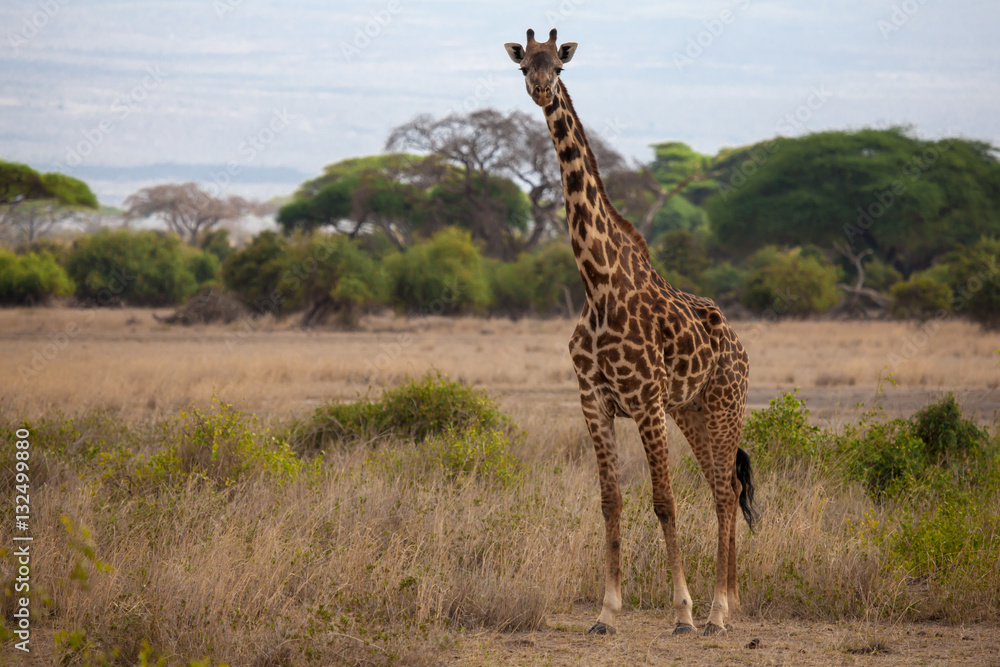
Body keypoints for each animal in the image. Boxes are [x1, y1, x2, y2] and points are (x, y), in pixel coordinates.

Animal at [505, 29, 757, 637]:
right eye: (523, 65)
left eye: (557, 64)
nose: (541, 91)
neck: (597, 284)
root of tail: (740, 347)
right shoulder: (593, 400)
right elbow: (610, 501)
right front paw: (606, 611)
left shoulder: (644, 401)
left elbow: (664, 501)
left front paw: (682, 612)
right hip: (690, 411)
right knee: (724, 487)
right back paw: (731, 602)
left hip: (725, 405)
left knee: (724, 492)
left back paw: (716, 613)